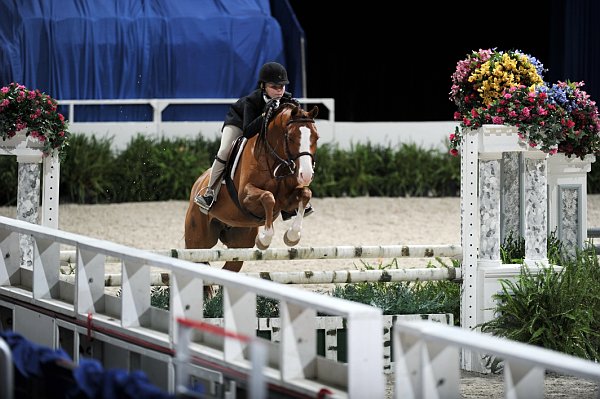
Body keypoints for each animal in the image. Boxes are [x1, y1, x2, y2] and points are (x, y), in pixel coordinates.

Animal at [185, 103, 318, 272]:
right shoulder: (245, 197)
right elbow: (268, 197)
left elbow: (306, 193)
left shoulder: (286, 200)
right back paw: (206, 199)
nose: (306, 175)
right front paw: (264, 239)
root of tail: (198, 183)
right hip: (198, 240)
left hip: (239, 243)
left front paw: (292, 236)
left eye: (316, 137)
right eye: (290, 137)